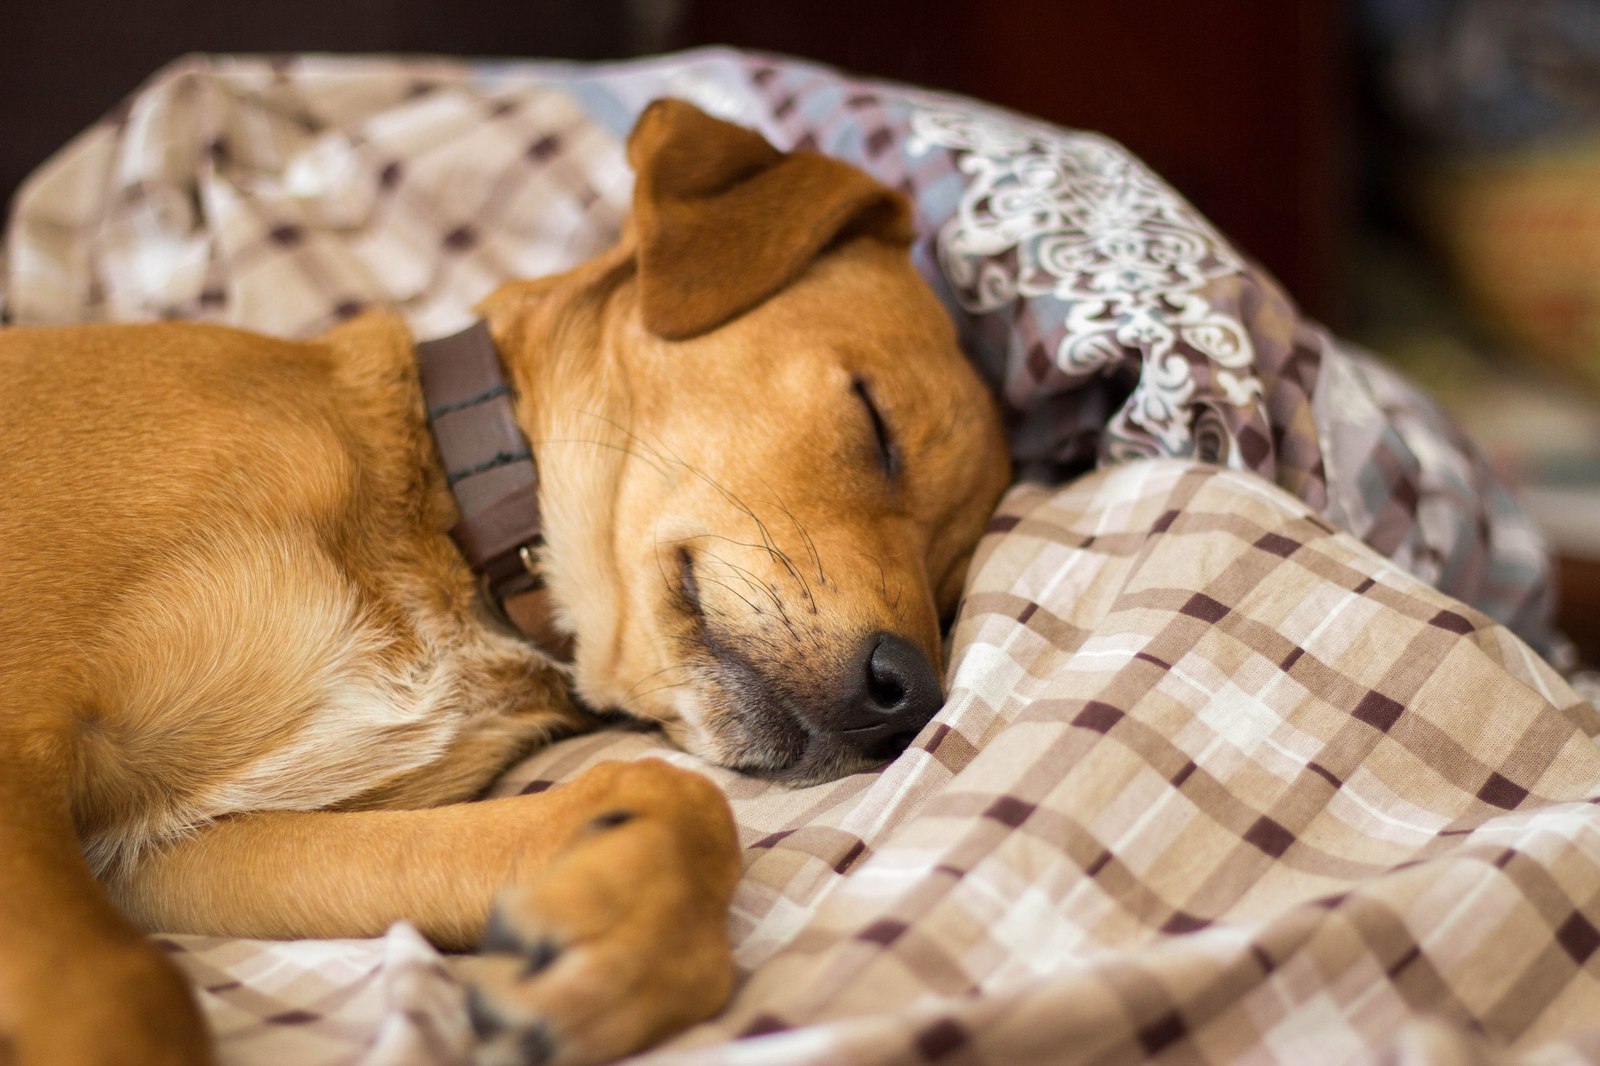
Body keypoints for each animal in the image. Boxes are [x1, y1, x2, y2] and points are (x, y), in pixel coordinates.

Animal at [0, 99, 1004, 1062]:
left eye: (955, 582)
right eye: (875, 423)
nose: (908, 699)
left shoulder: (171, 856)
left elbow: (684, 800)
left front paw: (615, 961)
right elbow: (126, 982)